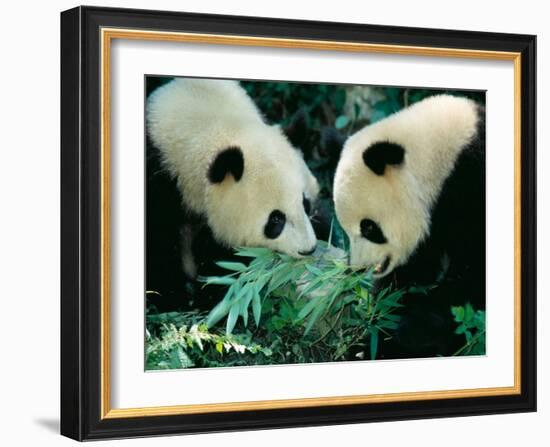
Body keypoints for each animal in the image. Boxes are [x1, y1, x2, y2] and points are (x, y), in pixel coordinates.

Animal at [334, 95, 486, 360]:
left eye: (368, 227)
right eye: (345, 230)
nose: (359, 268)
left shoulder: (471, 189)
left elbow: (471, 276)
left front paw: (412, 334)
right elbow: (410, 273)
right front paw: (373, 340)